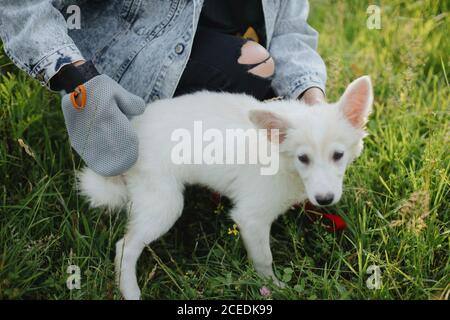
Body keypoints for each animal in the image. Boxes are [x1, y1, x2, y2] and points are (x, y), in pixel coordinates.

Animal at [76, 75, 372, 300]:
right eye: (303, 158)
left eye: (338, 155)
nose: (325, 199)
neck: (280, 158)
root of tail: (132, 131)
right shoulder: (251, 218)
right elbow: (264, 259)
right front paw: (274, 288)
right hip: (164, 205)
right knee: (124, 247)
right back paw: (130, 291)